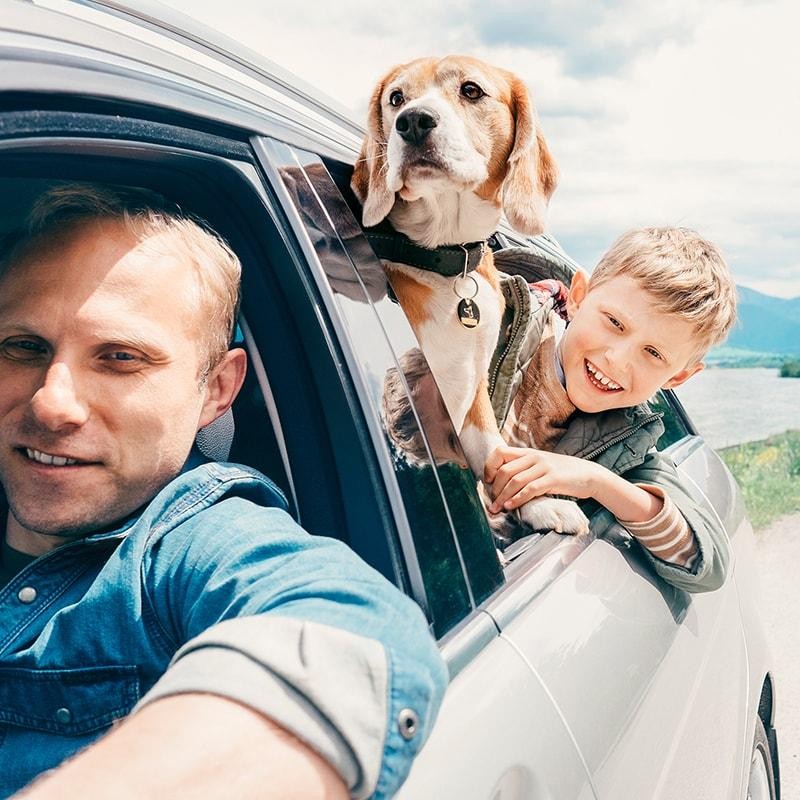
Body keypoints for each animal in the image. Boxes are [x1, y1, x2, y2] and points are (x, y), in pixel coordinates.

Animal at [354, 53, 592, 536]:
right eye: (396, 98)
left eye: (470, 90)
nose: (412, 121)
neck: (447, 259)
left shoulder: (470, 383)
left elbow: (493, 449)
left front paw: (537, 503)